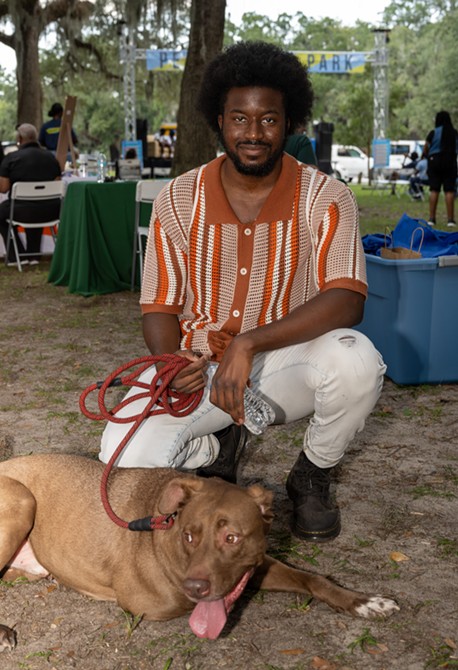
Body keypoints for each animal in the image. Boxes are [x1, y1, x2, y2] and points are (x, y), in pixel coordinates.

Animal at [0, 456, 398, 652]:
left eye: (232, 537)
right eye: (189, 535)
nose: (196, 587)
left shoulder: (256, 564)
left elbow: (312, 577)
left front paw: (364, 602)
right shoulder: (149, 602)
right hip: (21, 500)